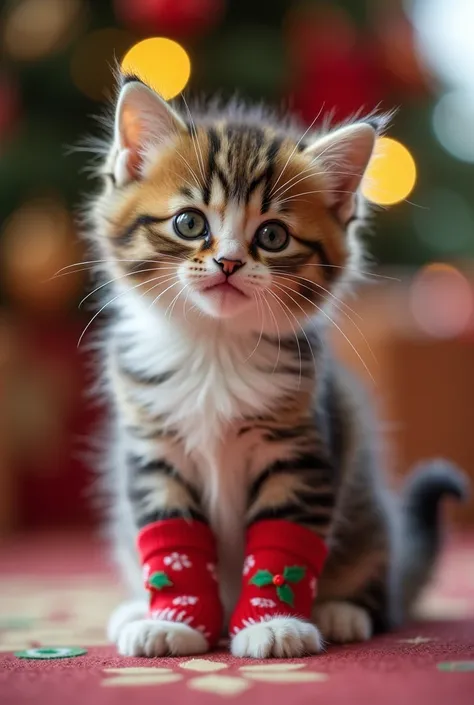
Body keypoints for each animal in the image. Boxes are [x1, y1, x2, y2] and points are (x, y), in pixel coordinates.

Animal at [86, 78, 466, 660]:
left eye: (272, 236)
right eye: (189, 223)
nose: (228, 262)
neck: (214, 350)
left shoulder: (300, 450)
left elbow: (282, 546)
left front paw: (275, 624)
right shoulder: (153, 452)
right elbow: (171, 539)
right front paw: (174, 621)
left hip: (367, 518)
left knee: (382, 597)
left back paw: (341, 611)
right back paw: (136, 608)